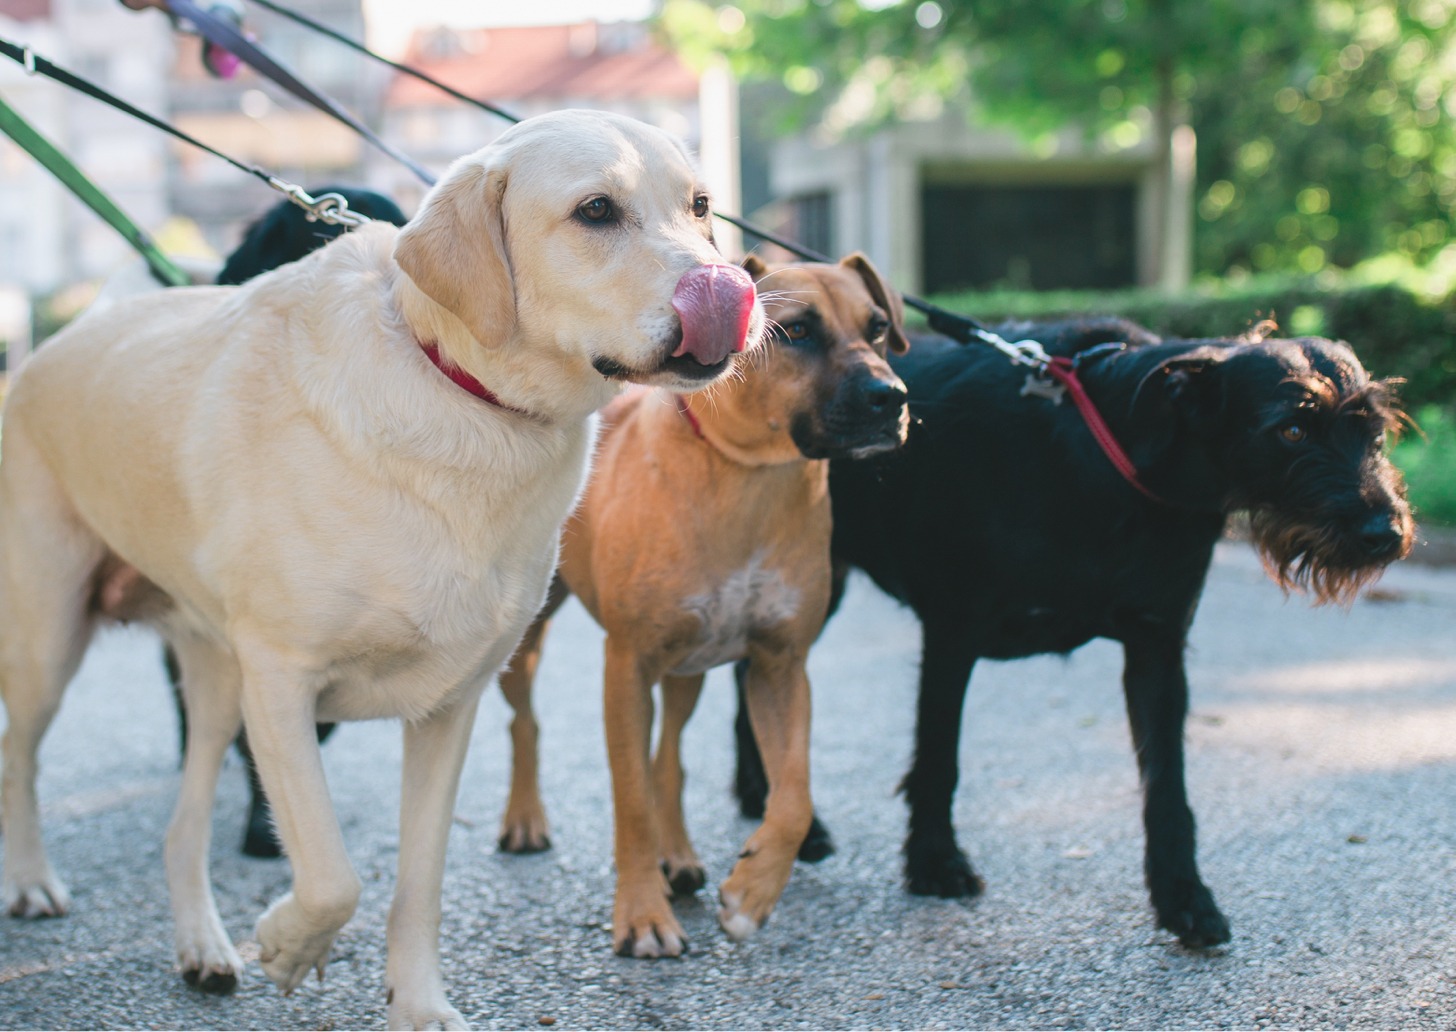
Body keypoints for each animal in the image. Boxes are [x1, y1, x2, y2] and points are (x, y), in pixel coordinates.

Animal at [500, 251, 908, 960]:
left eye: (878, 327)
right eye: (798, 331)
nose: (892, 398)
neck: (748, 476)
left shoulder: (781, 665)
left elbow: (793, 796)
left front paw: (752, 892)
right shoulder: (626, 666)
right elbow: (630, 800)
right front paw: (641, 915)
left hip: (687, 666)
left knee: (670, 758)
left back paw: (681, 856)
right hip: (530, 642)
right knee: (527, 723)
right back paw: (526, 818)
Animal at [733, 317, 1415, 943]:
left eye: (1375, 432)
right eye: (1292, 430)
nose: (1386, 533)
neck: (1112, 460)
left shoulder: (1157, 651)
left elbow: (1168, 787)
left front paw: (1183, 896)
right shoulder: (952, 633)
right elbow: (938, 759)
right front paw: (935, 862)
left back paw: (757, 800)